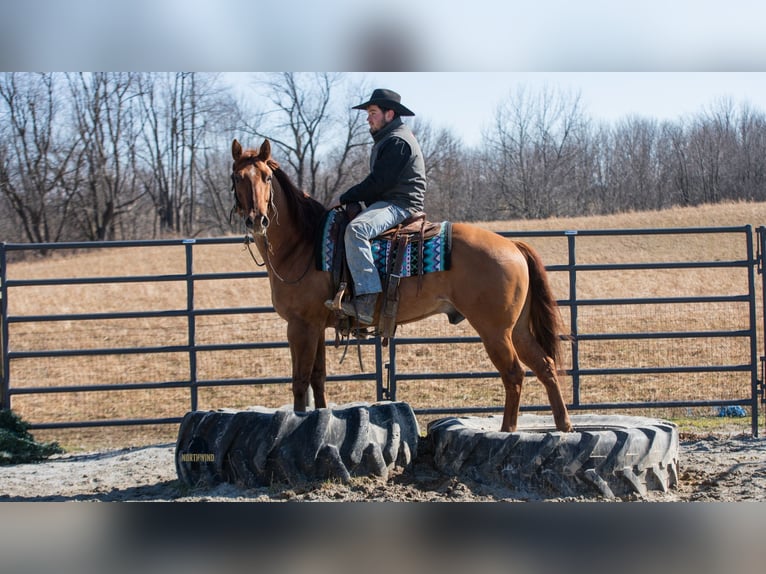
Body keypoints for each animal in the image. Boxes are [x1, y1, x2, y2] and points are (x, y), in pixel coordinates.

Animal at [230, 138, 573, 433]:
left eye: (265, 177)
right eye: (237, 177)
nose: (256, 220)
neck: (303, 243)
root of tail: (513, 245)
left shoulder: (300, 326)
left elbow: (300, 381)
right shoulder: (316, 327)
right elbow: (318, 379)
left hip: (495, 331)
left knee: (514, 373)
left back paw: (508, 429)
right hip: (517, 329)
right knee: (544, 365)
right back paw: (562, 425)